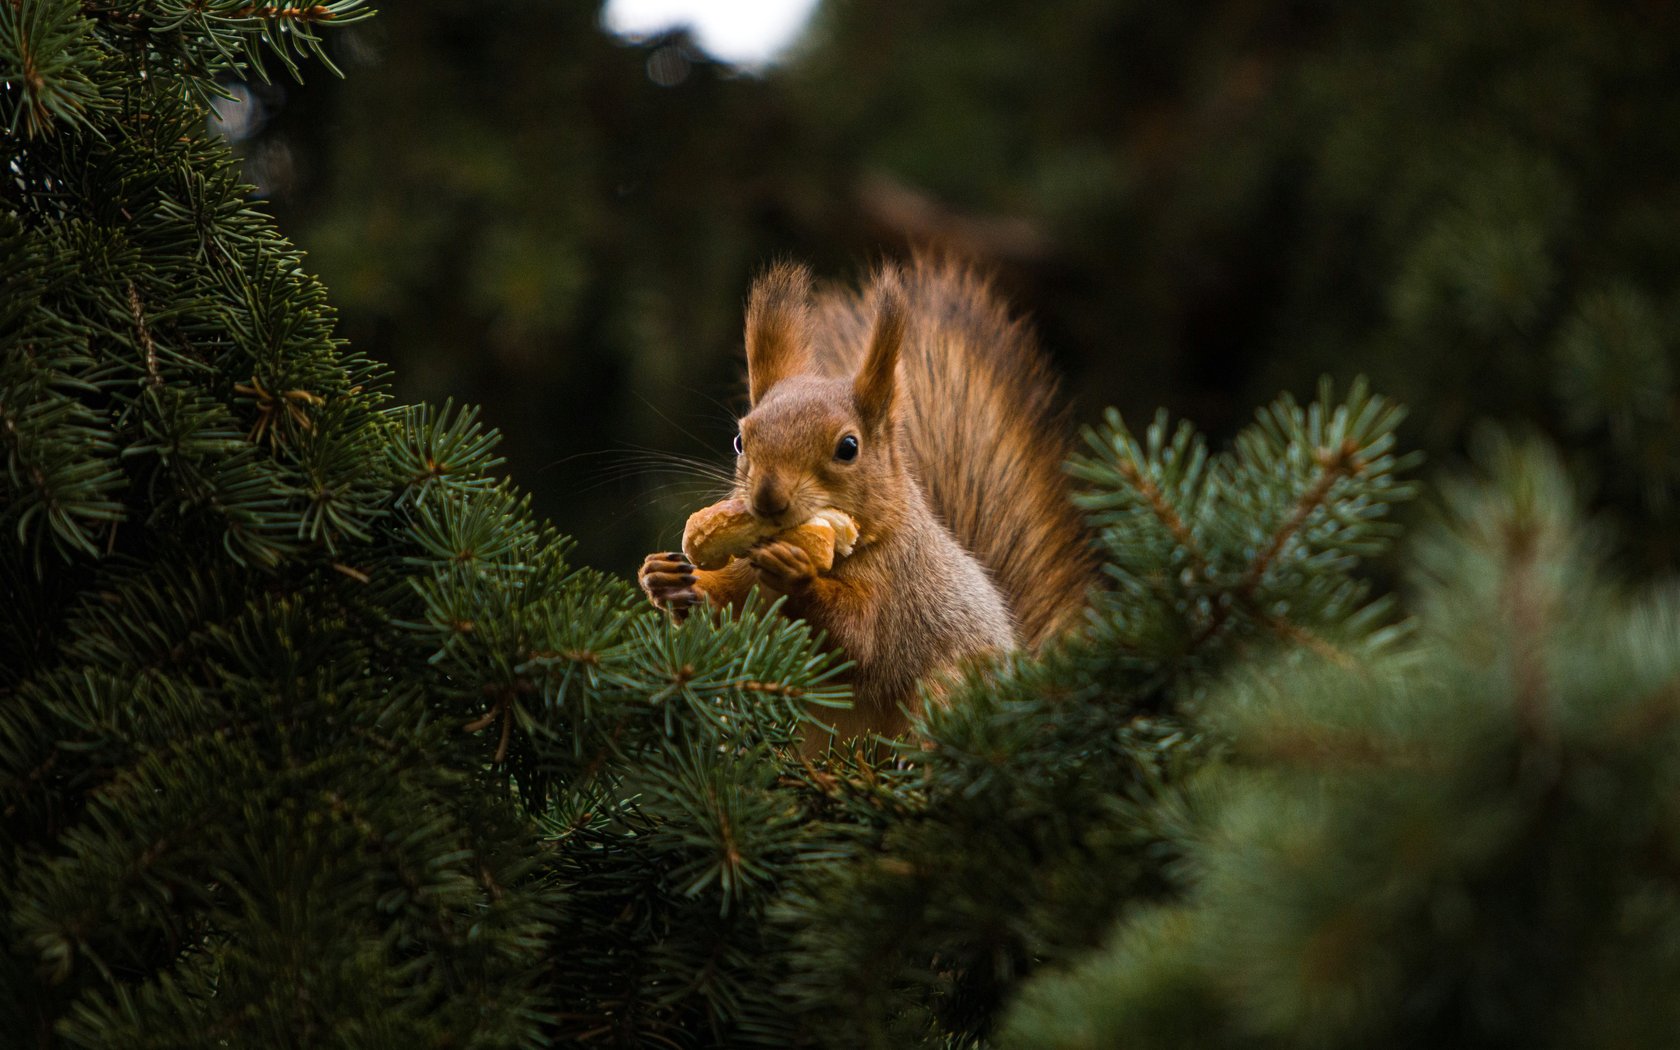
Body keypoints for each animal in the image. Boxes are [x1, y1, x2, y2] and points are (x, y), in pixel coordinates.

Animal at [638, 255, 1096, 745]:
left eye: (848, 447)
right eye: (741, 439)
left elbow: (858, 640)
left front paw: (798, 574)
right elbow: (729, 609)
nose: (767, 498)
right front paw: (666, 579)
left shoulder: (897, 586)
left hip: (948, 691)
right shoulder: (747, 581)